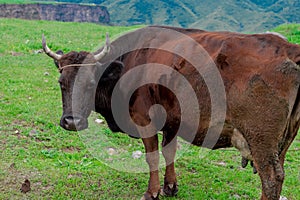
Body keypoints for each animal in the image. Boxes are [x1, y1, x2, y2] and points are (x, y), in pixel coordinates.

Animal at [41, 25, 300, 199]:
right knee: (280, 175)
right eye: (61, 82)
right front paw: (170, 187)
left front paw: (152, 192)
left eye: (90, 83)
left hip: (261, 140)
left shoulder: (144, 120)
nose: (71, 121)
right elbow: (169, 153)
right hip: (282, 142)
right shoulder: (172, 121)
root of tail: (289, 49)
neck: (129, 61)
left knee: (271, 179)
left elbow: (153, 156)